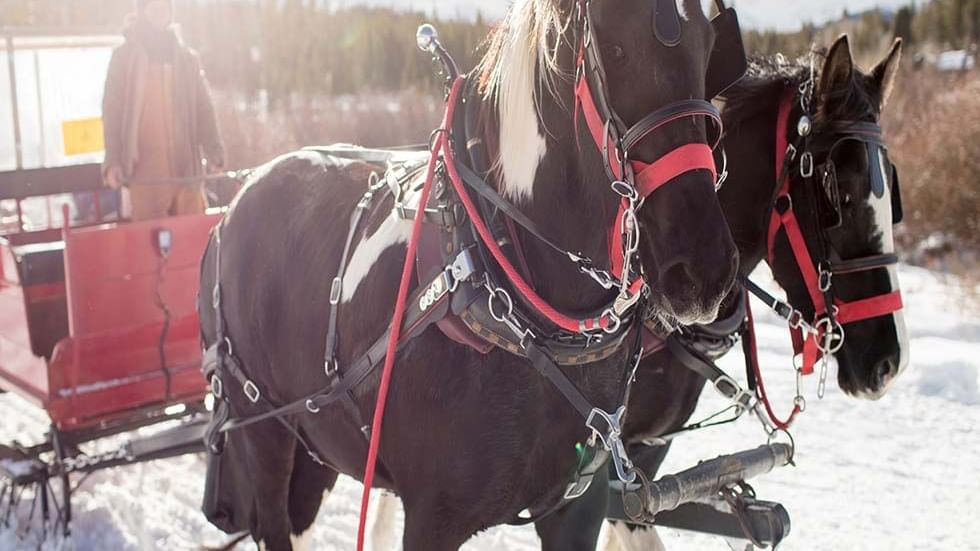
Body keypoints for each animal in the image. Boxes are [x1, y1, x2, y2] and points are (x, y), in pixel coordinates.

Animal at [197, 1, 736, 551]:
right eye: (616, 49)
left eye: (709, 49)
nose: (702, 269)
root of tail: (234, 204)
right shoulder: (432, 518)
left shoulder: (578, 506)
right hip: (262, 426)